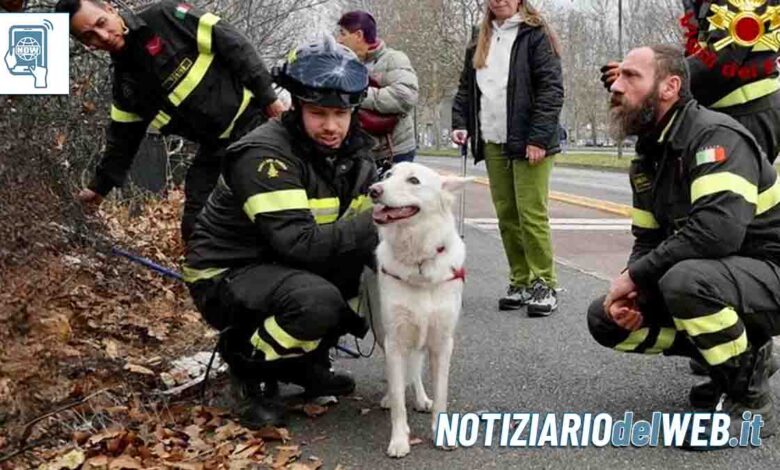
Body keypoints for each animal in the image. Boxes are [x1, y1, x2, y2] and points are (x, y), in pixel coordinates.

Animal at [368, 163, 470, 458]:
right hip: (383, 333)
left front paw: (441, 431)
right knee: (401, 376)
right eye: (387, 176)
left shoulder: (442, 343)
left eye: (414, 181)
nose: (373, 190)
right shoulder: (395, 340)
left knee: (414, 370)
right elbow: (398, 401)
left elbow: (442, 394)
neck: (419, 262)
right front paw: (399, 440)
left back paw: (423, 398)